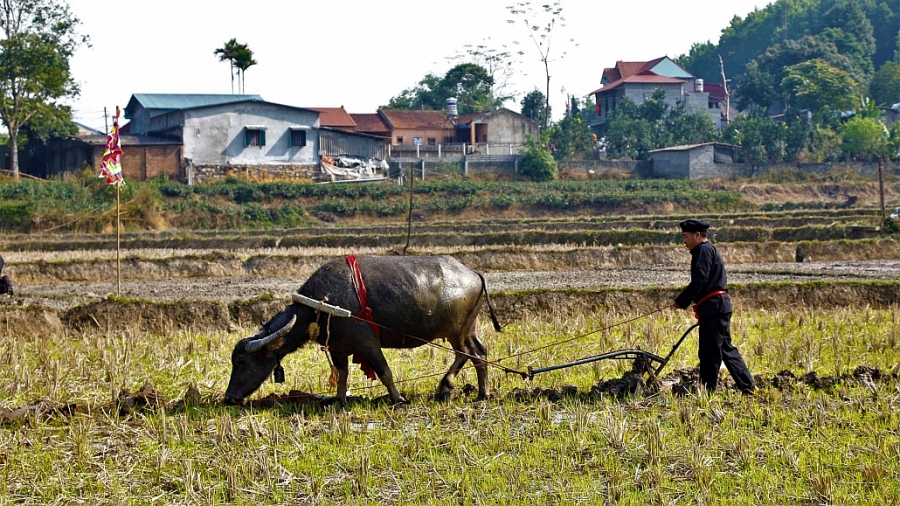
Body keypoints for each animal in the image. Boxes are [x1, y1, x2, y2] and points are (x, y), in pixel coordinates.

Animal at [224, 255, 501, 405]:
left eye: (241, 361)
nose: (229, 397)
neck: (321, 306)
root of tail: (473, 273)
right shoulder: (337, 349)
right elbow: (342, 375)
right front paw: (339, 400)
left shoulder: (368, 344)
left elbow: (385, 372)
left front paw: (398, 399)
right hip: (466, 330)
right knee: (476, 352)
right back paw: (468, 390)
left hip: (458, 331)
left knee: (471, 354)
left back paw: (470, 391)